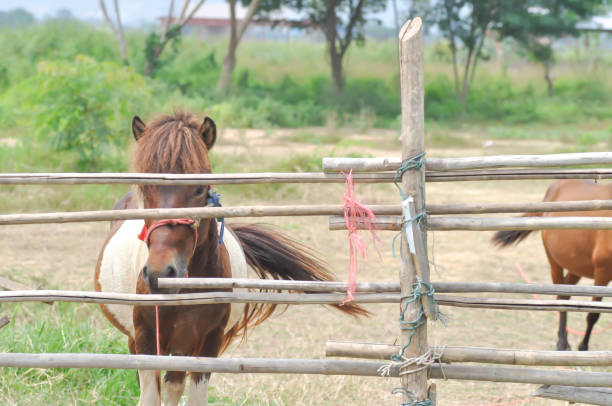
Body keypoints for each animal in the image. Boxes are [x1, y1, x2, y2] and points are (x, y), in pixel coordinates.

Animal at [93, 112, 366, 406]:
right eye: (144, 188)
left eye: (200, 189)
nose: (160, 273)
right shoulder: (145, 342)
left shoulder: (208, 344)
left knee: (174, 384)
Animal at [492, 179, 612, 350]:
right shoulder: (603, 273)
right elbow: (593, 314)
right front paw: (583, 348)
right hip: (554, 263)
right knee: (561, 297)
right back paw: (562, 343)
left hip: (576, 267)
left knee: (566, 296)